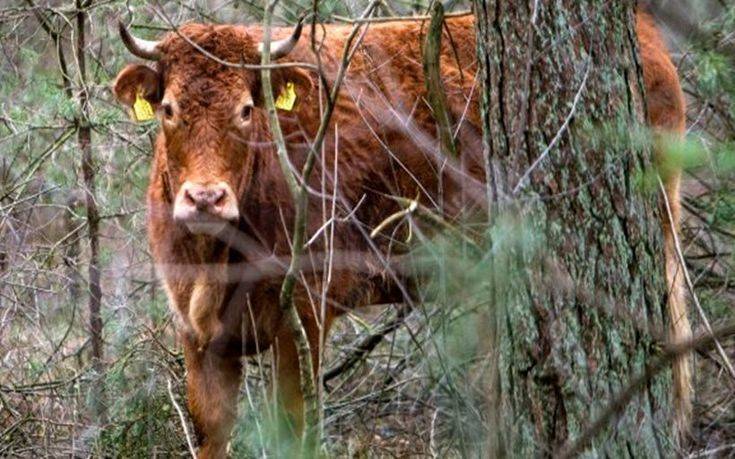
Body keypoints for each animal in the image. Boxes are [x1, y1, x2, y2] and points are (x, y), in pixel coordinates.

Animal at [113, 9, 688, 458]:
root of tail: (647, 36)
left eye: (246, 110)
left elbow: (295, 428)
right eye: (169, 109)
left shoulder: (304, 315)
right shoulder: (197, 335)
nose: (205, 198)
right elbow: (210, 433)